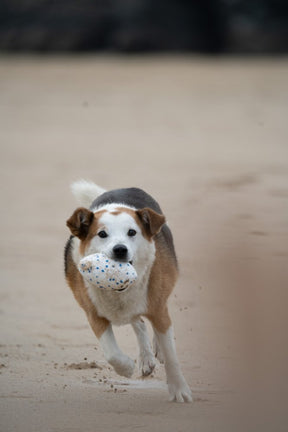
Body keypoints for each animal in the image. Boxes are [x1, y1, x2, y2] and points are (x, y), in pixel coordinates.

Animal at [64, 181, 192, 404]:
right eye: (102, 234)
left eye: (132, 232)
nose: (120, 249)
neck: (119, 290)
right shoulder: (93, 313)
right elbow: (111, 353)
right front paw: (126, 368)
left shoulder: (157, 307)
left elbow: (171, 354)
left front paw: (179, 389)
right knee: (138, 322)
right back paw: (145, 359)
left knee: (155, 323)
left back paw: (156, 349)